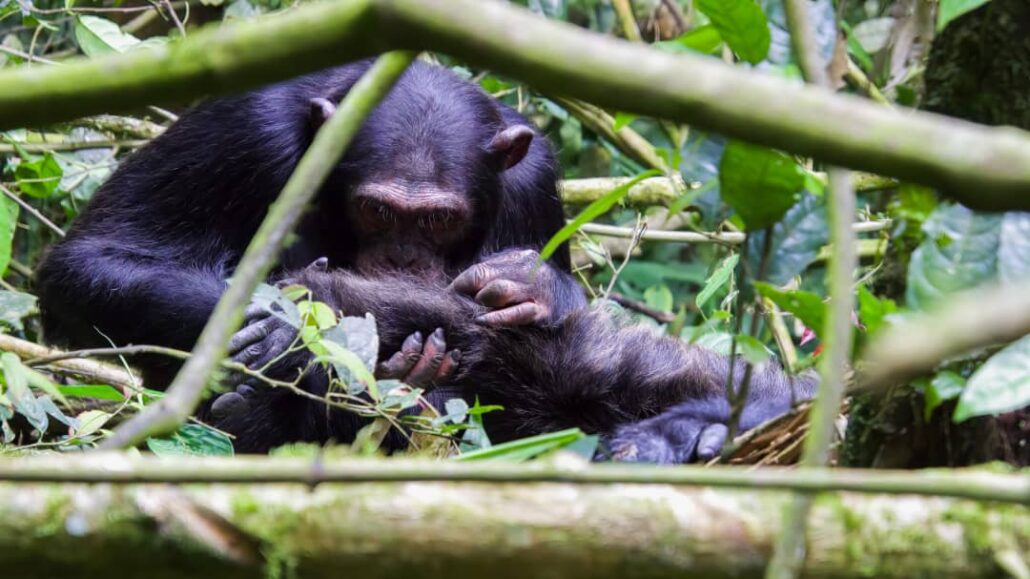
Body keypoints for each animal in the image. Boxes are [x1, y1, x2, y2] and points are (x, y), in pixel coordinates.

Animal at [38, 59, 589, 387]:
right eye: (377, 210)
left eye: (440, 218)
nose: (401, 260)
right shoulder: (242, 129)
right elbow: (91, 261)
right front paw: (298, 321)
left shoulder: (534, 181)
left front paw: (532, 284)